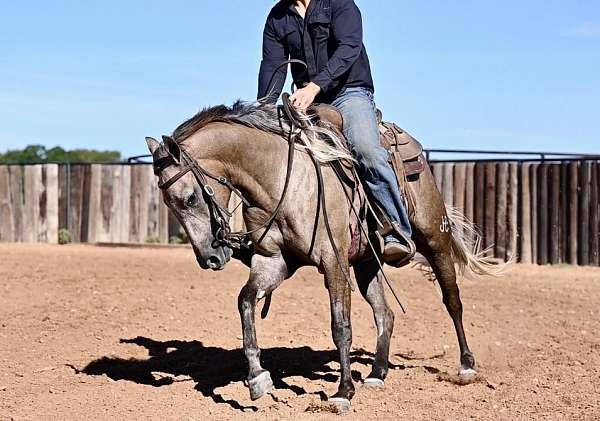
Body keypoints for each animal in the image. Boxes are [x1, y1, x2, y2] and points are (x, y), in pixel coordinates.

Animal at [144, 99, 496, 410]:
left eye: (190, 198)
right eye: (168, 204)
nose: (210, 259)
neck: (279, 179)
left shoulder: (333, 263)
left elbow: (340, 326)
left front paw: (342, 392)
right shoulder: (275, 262)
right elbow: (245, 301)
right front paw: (258, 378)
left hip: (435, 239)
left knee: (452, 300)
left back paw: (466, 366)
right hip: (367, 263)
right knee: (385, 314)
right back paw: (377, 373)